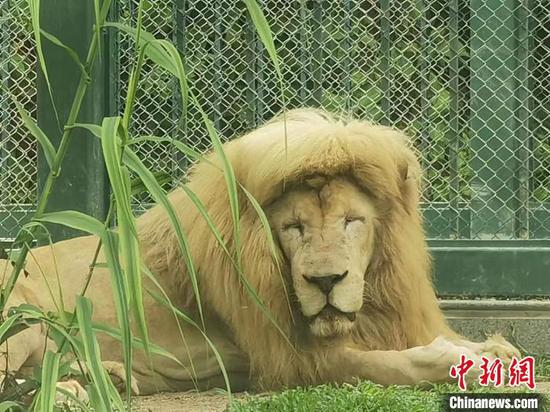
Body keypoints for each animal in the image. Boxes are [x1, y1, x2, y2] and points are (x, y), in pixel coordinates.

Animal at [0, 108, 520, 398]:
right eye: (293, 228)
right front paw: (461, 363)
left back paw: (96, 377)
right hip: (23, 316)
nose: (325, 282)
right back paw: (74, 387)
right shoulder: (293, 361)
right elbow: (388, 364)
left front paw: (492, 349)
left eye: (353, 221)